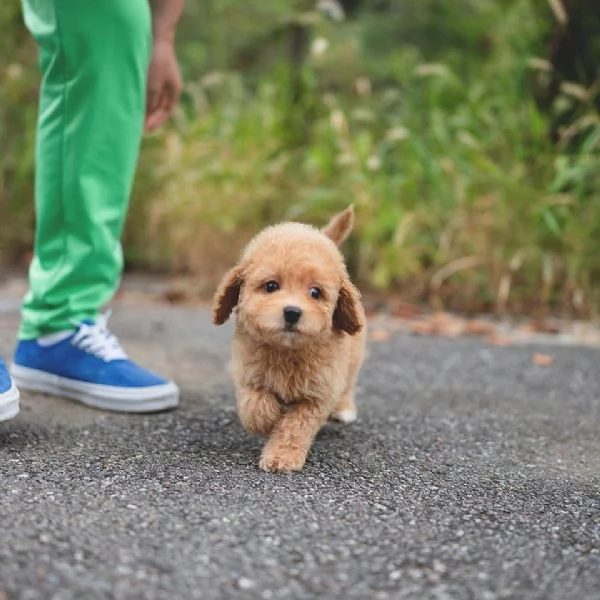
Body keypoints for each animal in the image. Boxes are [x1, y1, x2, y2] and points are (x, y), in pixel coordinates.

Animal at [211, 206, 370, 474]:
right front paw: (269, 420)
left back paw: (344, 409)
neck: (286, 351)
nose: (293, 312)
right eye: (271, 286)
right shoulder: (248, 374)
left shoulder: (318, 393)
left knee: (348, 384)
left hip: (352, 359)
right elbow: (255, 406)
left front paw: (282, 456)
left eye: (315, 292)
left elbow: (294, 428)